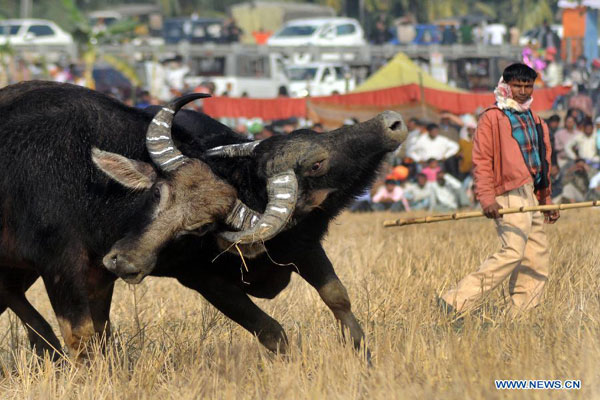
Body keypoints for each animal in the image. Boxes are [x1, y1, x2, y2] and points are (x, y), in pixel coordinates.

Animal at [0, 81, 408, 360]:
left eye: (198, 228)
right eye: (157, 194)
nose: (392, 122)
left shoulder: (303, 247)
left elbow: (336, 299)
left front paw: (363, 357)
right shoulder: (66, 263)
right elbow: (83, 334)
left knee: (14, 296)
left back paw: (46, 349)